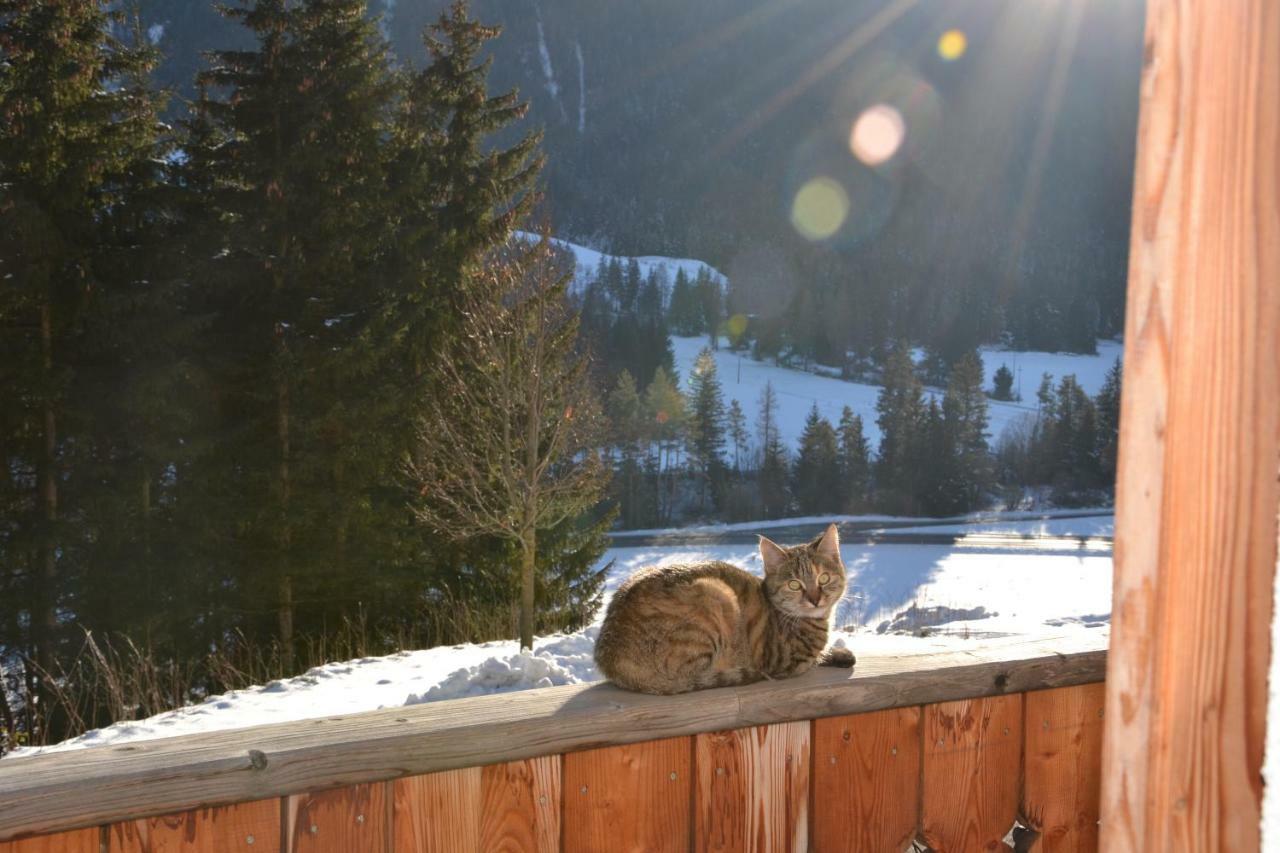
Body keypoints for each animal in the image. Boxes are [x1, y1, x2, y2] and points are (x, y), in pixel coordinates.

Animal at [593, 522, 855, 696]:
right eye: (794, 584)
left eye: (823, 578)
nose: (815, 599)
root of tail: (611, 657)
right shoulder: (783, 661)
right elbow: (811, 659)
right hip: (715, 596)